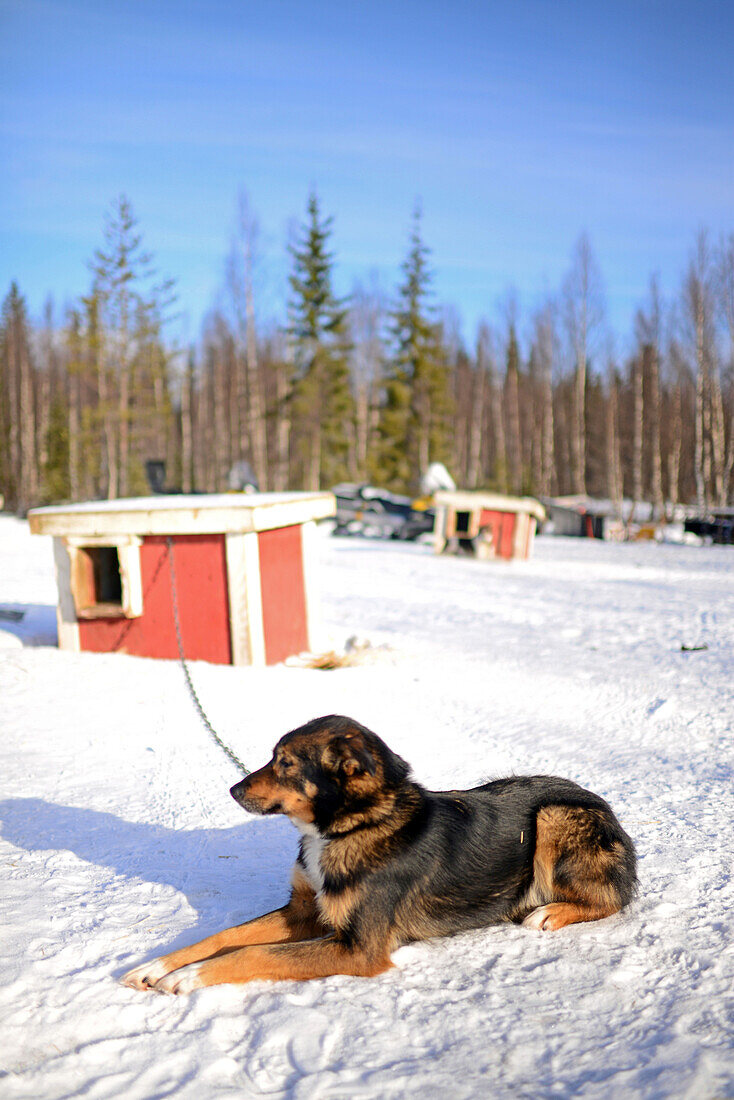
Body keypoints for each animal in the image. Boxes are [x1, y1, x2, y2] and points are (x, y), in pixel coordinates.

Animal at [122, 717, 638, 994]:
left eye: (285, 763)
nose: (232, 789)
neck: (349, 828)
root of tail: (614, 816)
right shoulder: (303, 911)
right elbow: (227, 936)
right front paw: (160, 965)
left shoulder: (359, 948)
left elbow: (251, 953)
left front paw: (189, 978)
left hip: (554, 816)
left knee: (613, 898)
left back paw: (549, 912)